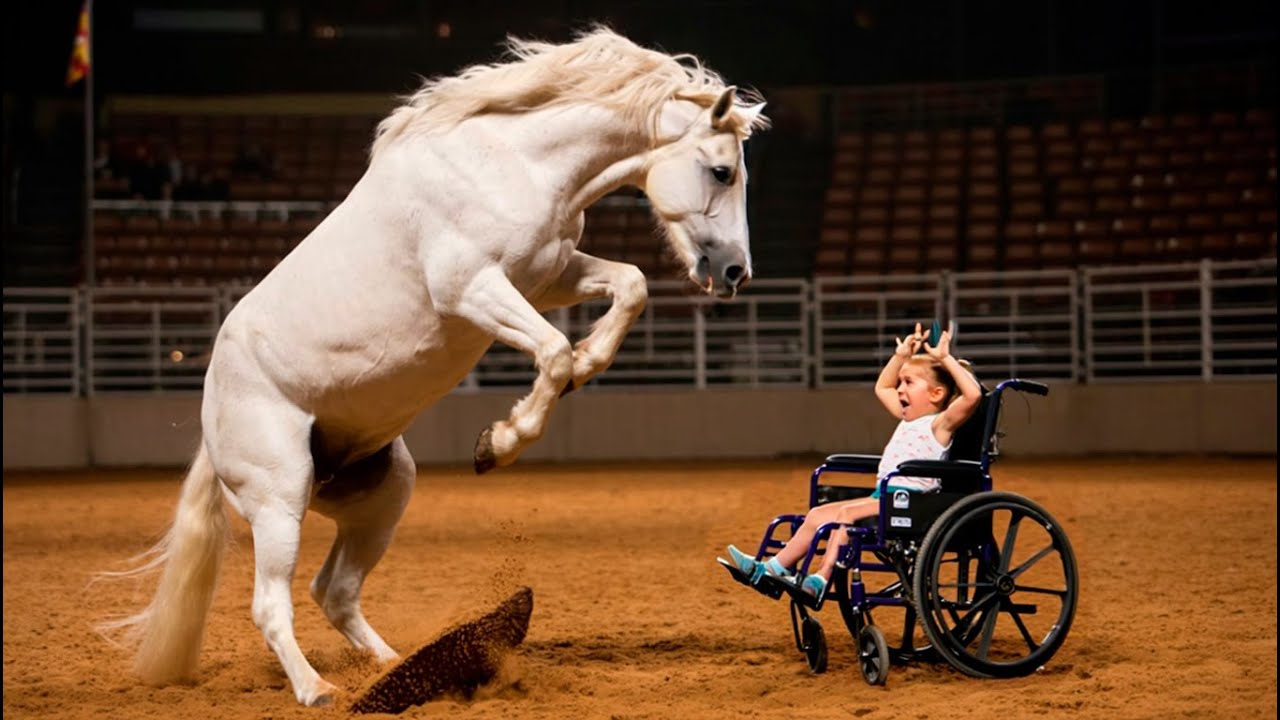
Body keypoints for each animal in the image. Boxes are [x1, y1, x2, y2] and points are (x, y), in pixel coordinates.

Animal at [98, 27, 767, 707]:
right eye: (722, 170)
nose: (735, 271)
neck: (509, 162)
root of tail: (212, 424)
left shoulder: (548, 275)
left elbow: (628, 288)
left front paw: (584, 366)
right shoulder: (472, 289)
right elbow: (552, 350)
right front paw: (501, 441)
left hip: (381, 494)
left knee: (334, 592)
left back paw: (396, 669)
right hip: (278, 500)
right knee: (271, 604)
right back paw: (318, 690)